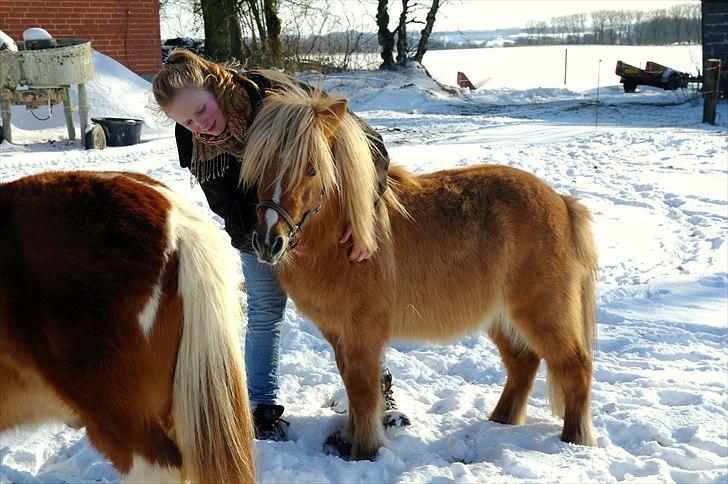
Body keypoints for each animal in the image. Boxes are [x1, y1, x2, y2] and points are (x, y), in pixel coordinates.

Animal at [242, 87, 600, 462]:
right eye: (261, 164)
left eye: (312, 170)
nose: (268, 241)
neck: (345, 239)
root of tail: (562, 202)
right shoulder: (340, 335)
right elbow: (351, 385)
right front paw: (350, 437)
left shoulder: (363, 334)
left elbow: (362, 389)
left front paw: (364, 451)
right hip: (501, 316)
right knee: (523, 363)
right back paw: (500, 421)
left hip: (542, 312)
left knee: (574, 365)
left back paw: (574, 439)